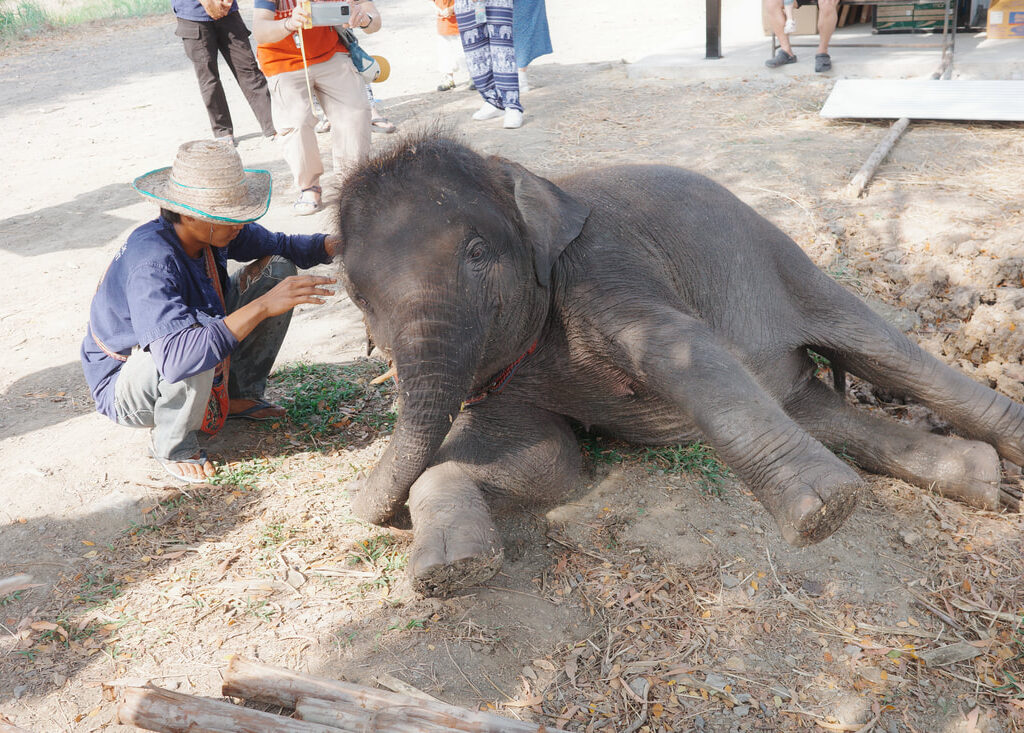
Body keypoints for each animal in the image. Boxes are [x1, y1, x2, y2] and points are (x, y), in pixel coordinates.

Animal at [333, 134, 1024, 597]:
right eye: (358, 298)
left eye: (477, 253)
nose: (357, 506)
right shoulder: (507, 375)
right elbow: (546, 461)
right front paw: (451, 571)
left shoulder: (603, 264)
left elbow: (678, 346)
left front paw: (827, 513)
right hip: (797, 378)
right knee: (829, 415)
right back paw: (983, 480)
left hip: (785, 262)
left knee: (882, 351)